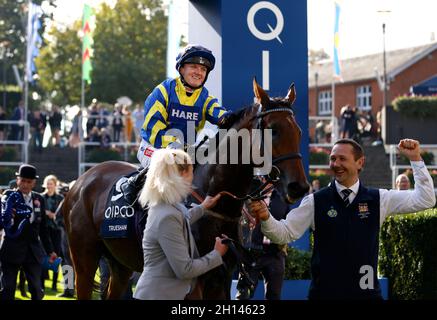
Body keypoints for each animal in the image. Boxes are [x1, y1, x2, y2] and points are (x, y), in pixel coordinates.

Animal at [62, 79, 310, 298]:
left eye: (298, 131)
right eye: (273, 130)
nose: (299, 187)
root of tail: (81, 181)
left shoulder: (221, 279)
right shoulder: (193, 279)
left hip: (120, 263)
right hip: (84, 260)